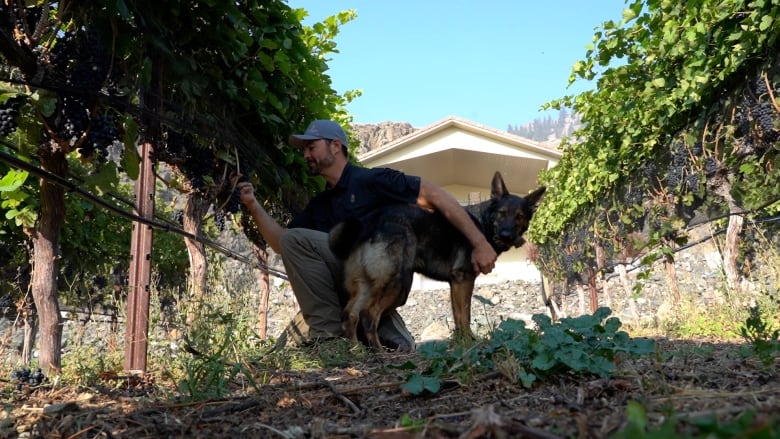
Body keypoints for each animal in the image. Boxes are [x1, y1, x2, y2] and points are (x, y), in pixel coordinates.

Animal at [326, 172, 544, 350]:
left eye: (520, 216)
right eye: (501, 213)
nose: (506, 235)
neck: (483, 224)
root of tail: (368, 222)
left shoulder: (456, 284)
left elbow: (458, 318)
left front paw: (462, 343)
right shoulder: (464, 280)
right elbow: (465, 316)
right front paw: (467, 344)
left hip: (368, 285)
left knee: (350, 315)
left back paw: (357, 351)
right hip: (396, 283)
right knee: (368, 314)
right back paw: (380, 352)